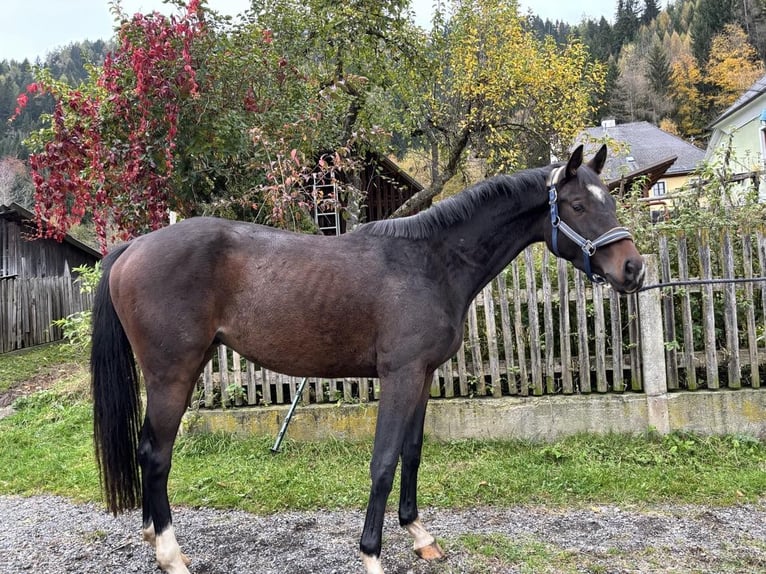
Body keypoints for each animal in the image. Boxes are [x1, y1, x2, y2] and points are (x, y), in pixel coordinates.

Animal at [91, 144, 648, 572]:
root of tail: (132, 247)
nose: (633, 269)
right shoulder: (399, 376)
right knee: (155, 455)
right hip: (172, 374)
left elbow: (411, 453)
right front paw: (372, 555)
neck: (430, 262)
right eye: (576, 205)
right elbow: (382, 462)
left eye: (609, 201)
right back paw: (171, 555)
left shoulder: (423, 376)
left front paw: (420, 536)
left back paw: (154, 539)